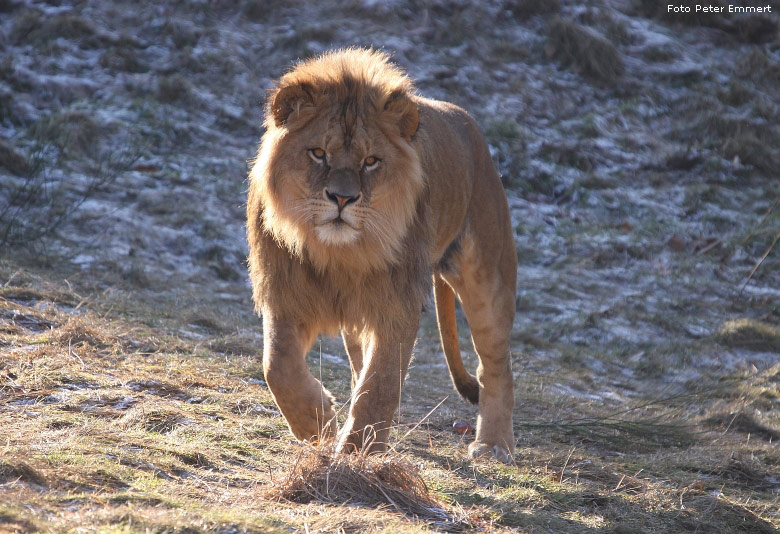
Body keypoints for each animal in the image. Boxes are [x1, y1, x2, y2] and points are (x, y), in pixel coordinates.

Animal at [248, 47, 516, 464]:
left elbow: (382, 382)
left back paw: (493, 445)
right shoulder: (285, 294)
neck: (338, 253)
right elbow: (277, 365)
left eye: (370, 161)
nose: (342, 198)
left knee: (496, 368)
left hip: (488, 275)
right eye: (318, 154)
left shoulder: (396, 304)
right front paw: (317, 422)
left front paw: (358, 449)